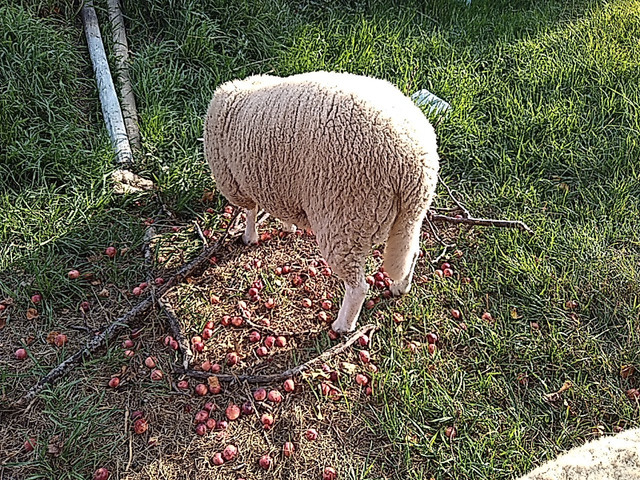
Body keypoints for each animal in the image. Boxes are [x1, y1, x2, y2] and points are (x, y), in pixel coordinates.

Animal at [205, 71, 440, 332]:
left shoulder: (237, 181)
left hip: (346, 221)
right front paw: (288, 226)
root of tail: (415, 165)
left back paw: (343, 325)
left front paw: (249, 236)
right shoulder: (279, 182)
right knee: (411, 253)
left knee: (358, 288)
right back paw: (400, 286)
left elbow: (250, 211)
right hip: (409, 219)